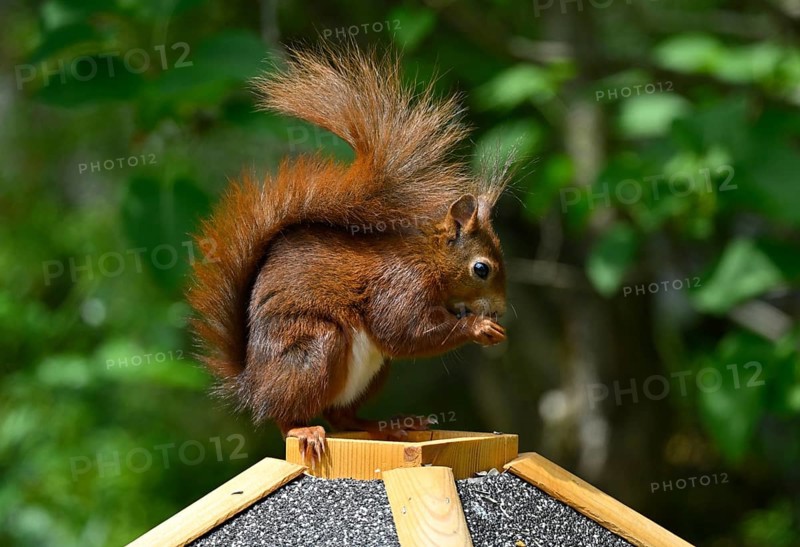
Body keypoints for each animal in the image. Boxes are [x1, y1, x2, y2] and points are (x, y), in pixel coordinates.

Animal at [187, 46, 510, 465]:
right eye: (481, 269)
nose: (499, 311)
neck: (428, 260)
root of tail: (252, 384)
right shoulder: (400, 286)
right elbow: (402, 332)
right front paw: (478, 327)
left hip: (373, 371)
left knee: (344, 417)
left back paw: (390, 425)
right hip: (313, 348)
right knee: (287, 416)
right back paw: (303, 429)